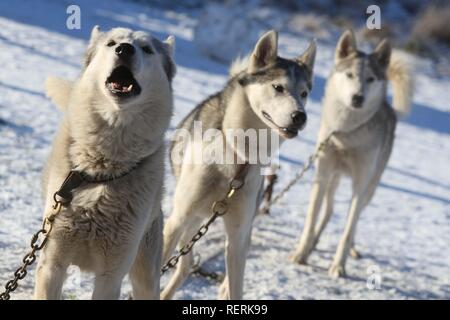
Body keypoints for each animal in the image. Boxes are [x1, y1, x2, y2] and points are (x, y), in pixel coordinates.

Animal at [34, 26, 176, 298]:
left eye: (146, 49)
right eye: (111, 43)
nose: (125, 49)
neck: (101, 170)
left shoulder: (111, 276)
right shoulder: (52, 263)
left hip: (146, 277)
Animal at [163, 30, 316, 300]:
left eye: (304, 93)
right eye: (278, 87)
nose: (300, 116)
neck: (238, 156)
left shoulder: (237, 237)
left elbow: (236, 288)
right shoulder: (176, 221)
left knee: (189, 266)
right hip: (187, 221)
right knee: (184, 264)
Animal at [290, 30, 414, 278]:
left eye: (370, 79)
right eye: (349, 75)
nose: (358, 97)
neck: (346, 133)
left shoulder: (360, 186)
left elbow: (347, 230)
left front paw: (338, 266)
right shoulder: (322, 176)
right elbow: (310, 220)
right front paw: (301, 254)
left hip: (370, 189)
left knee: (353, 221)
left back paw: (352, 250)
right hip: (332, 181)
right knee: (329, 211)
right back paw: (313, 244)